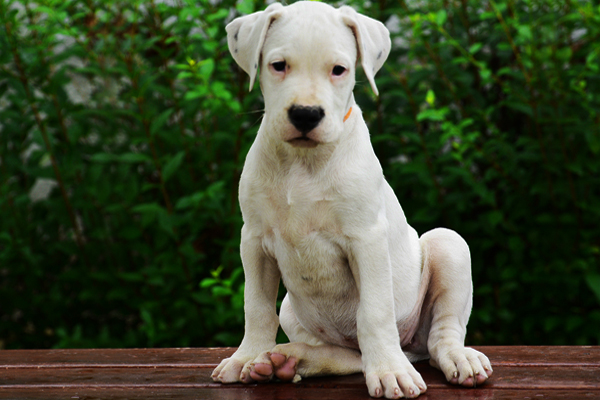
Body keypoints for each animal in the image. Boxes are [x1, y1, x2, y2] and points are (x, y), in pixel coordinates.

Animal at [211, 1, 492, 398]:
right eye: (279, 65)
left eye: (338, 70)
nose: (306, 114)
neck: (304, 162)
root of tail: (410, 347)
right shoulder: (254, 241)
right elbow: (256, 307)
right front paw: (246, 356)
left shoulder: (366, 240)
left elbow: (373, 313)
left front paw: (390, 372)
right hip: (293, 309)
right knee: (350, 357)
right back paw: (290, 359)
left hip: (448, 246)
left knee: (440, 334)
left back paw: (452, 358)